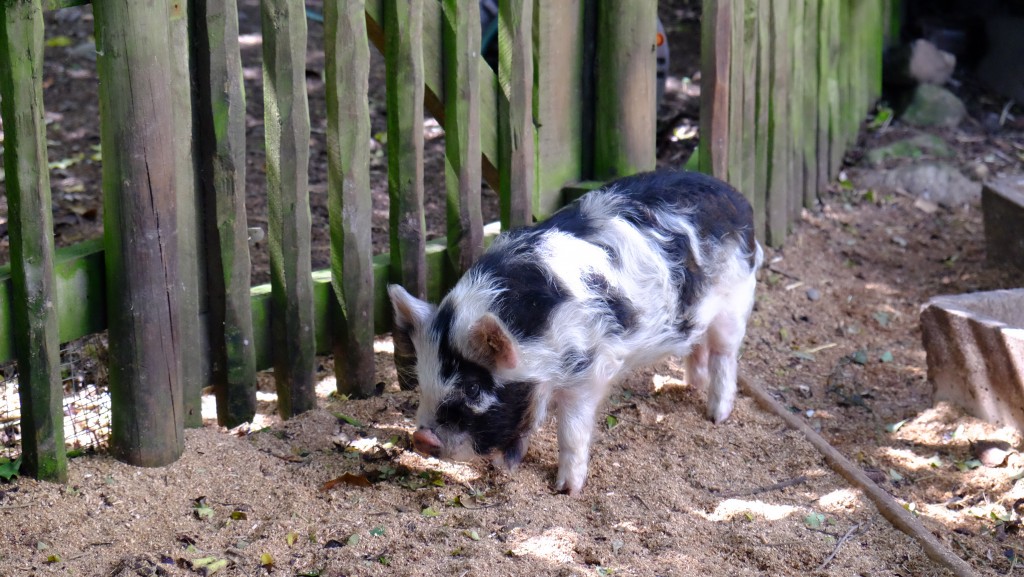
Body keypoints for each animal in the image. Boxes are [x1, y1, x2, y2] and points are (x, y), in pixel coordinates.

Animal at [387, 168, 765, 496]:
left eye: (473, 387)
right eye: (423, 379)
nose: (422, 438)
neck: (535, 330)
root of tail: (736, 196)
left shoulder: (588, 374)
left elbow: (571, 430)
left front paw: (566, 490)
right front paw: (506, 467)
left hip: (735, 299)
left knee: (724, 356)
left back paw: (717, 416)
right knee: (698, 346)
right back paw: (690, 386)